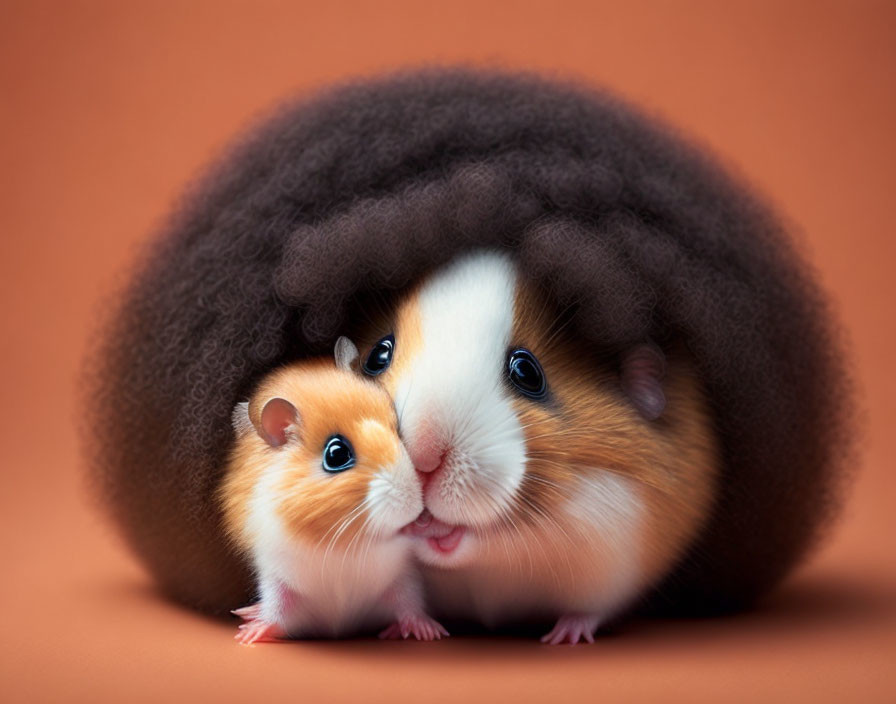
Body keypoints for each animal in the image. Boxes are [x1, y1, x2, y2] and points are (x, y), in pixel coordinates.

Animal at [219, 336, 448, 644]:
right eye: (336, 455)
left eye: (398, 431)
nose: (416, 503)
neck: (342, 545)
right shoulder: (277, 569)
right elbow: (277, 611)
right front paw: (248, 636)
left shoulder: (401, 569)